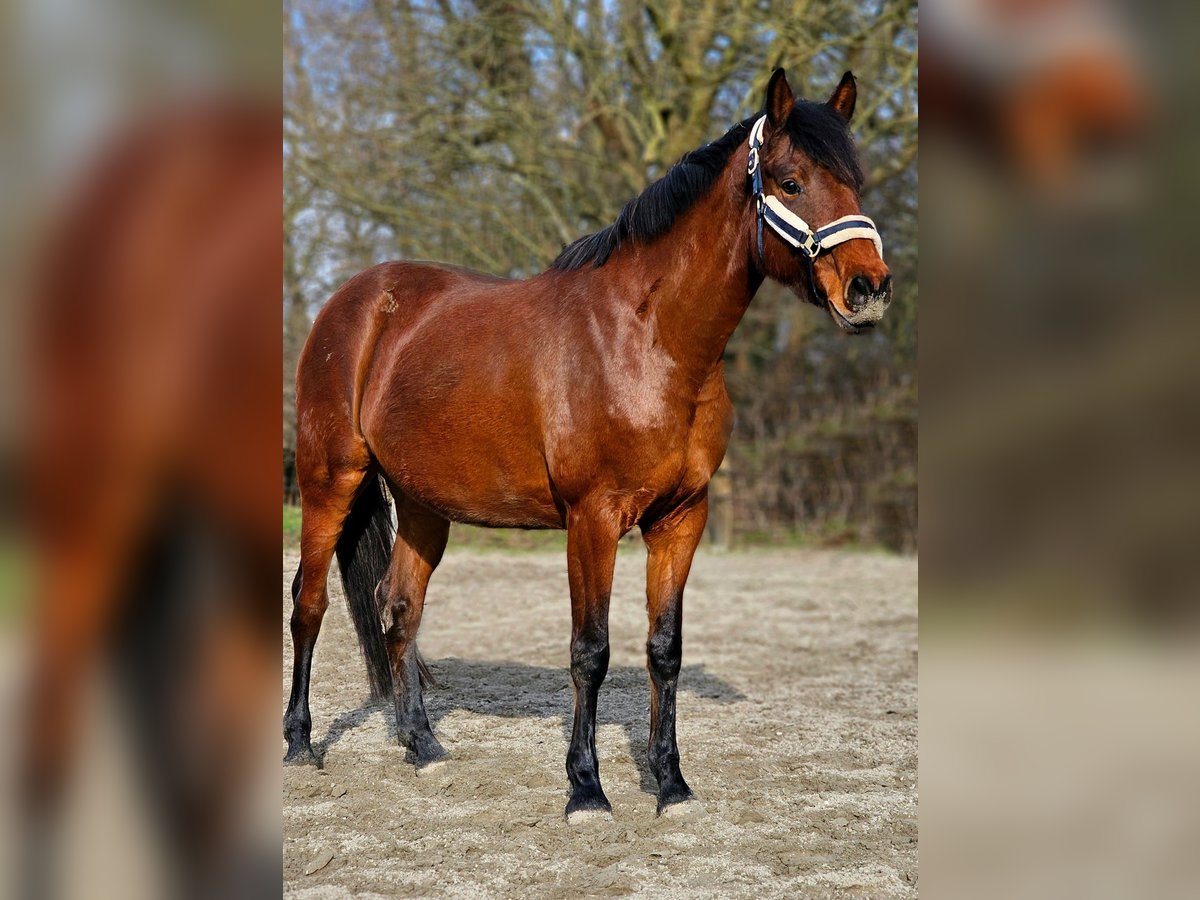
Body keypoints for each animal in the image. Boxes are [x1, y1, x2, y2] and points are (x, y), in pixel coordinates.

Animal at [288, 66, 892, 820]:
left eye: (855, 181)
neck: (649, 341)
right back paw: (300, 745)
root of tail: (354, 300)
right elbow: (590, 651)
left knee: (397, 608)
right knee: (308, 604)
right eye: (790, 181)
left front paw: (671, 785)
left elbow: (664, 649)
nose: (869, 289)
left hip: (423, 503)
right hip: (329, 481)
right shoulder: (592, 519)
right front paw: (586, 790)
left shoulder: (682, 519)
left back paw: (422, 746)